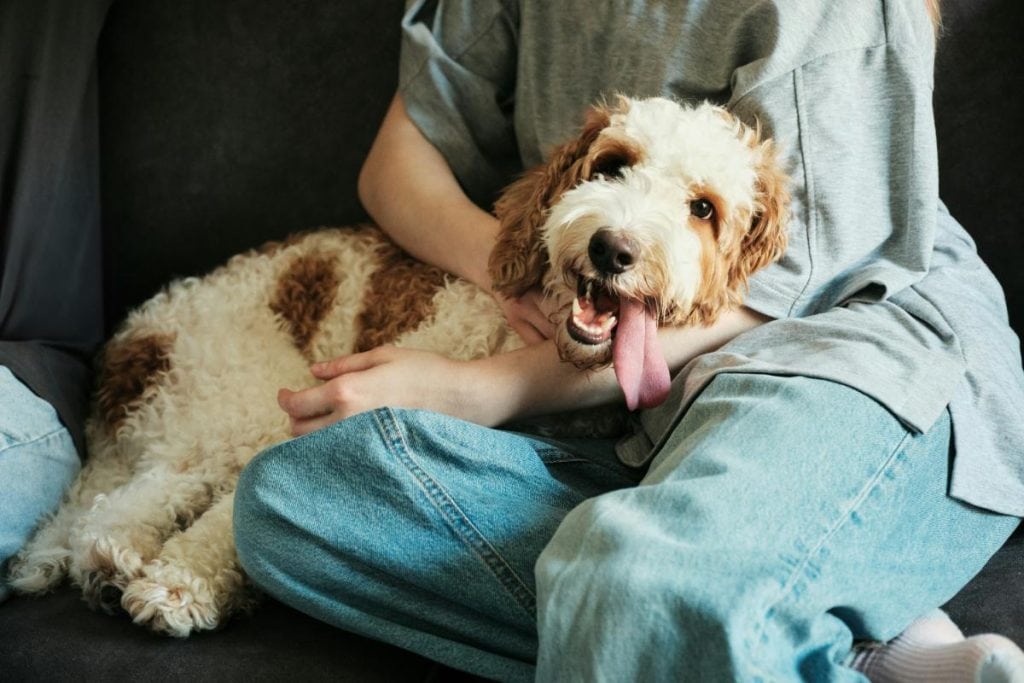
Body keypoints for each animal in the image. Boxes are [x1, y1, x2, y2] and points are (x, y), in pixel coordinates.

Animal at [8, 94, 786, 634]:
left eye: (703, 209)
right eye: (613, 164)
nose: (612, 248)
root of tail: (131, 341)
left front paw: (174, 582)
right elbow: (231, 513)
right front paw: (178, 587)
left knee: (135, 494)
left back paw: (109, 563)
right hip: (238, 391)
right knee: (145, 493)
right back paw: (113, 561)